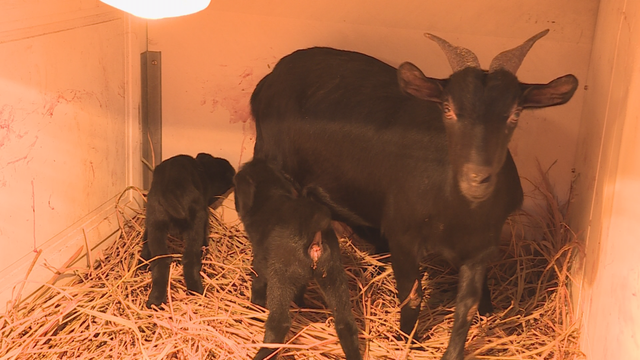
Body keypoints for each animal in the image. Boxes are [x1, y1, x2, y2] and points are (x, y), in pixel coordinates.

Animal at [251, 31, 580, 360]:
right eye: (448, 109)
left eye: (514, 114)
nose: (477, 177)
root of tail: (271, 77)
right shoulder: (404, 235)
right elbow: (413, 295)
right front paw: (408, 340)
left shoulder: (481, 245)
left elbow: (466, 306)